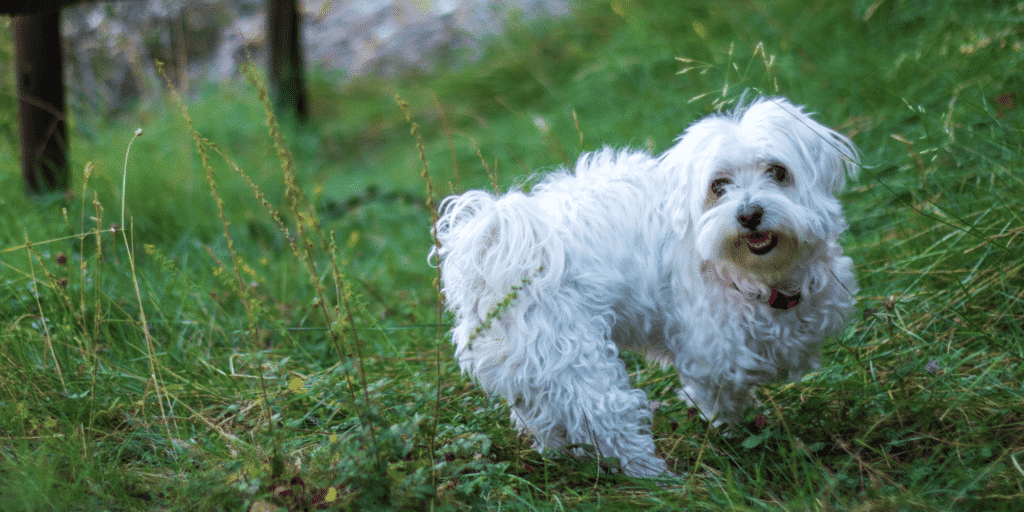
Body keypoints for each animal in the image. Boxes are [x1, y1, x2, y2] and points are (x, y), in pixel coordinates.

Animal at [428, 97, 860, 477]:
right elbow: (724, 397)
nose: (749, 214)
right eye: (718, 186)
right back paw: (654, 477)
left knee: (545, 421)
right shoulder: (713, 347)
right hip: (576, 359)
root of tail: (493, 250)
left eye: (778, 171)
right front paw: (736, 433)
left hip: (531, 369)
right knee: (607, 419)